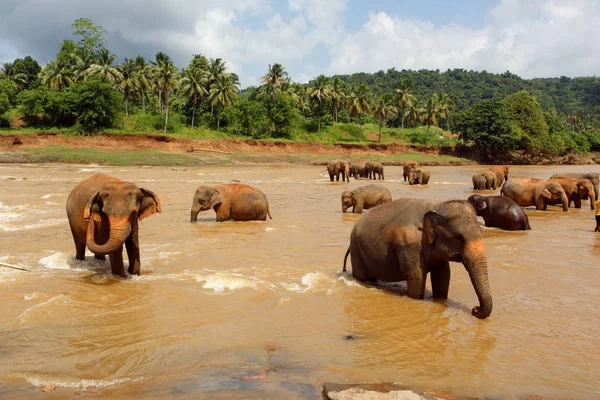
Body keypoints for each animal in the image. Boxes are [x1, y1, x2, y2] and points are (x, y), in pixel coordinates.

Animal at [342, 199, 492, 318]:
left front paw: (440, 300)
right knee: (361, 276)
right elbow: (417, 276)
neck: (437, 205)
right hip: (356, 248)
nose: (475, 309)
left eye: (482, 233)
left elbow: (443, 275)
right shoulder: (408, 245)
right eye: (459, 238)